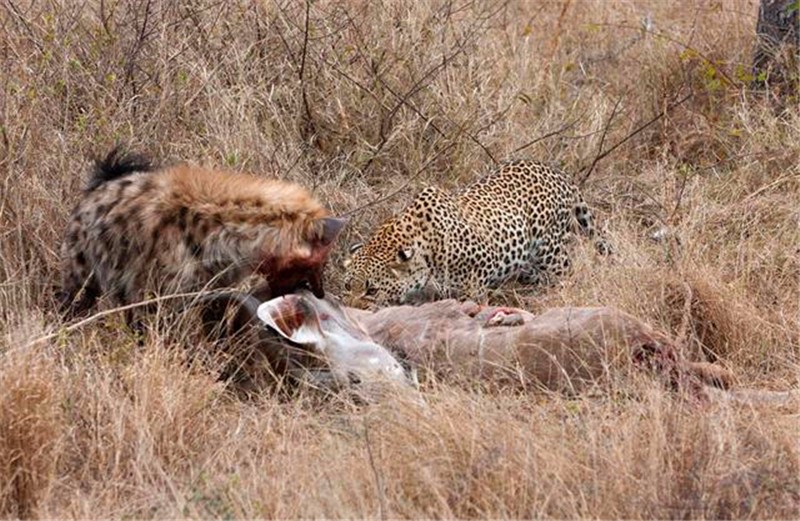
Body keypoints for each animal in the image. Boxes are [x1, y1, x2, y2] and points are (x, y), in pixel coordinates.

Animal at [344, 158, 612, 304]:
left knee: (568, 271)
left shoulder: (479, 273)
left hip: (551, 250)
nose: (353, 311)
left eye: (372, 290)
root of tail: (559, 173)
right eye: (347, 286)